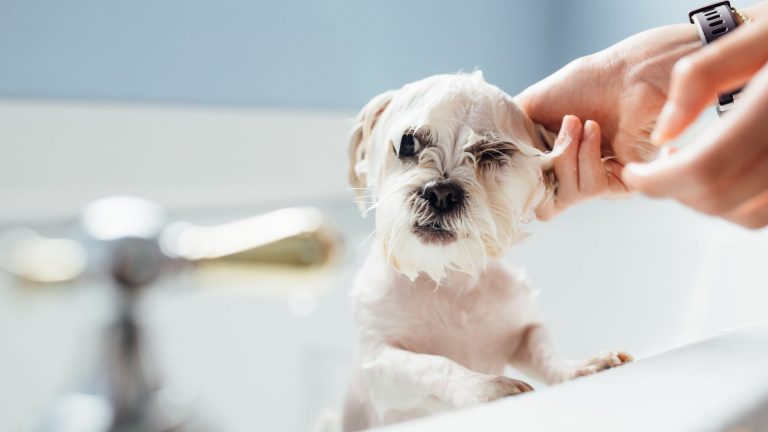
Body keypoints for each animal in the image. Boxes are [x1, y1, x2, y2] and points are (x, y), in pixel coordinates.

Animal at [344, 72, 632, 430]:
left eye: (493, 153)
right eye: (408, 143)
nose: (441, 193)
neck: (450, 279)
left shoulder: (520, 328)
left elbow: (544, 349)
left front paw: (580, 366)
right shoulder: (380, 363)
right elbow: (432, 364)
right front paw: (484, 386)